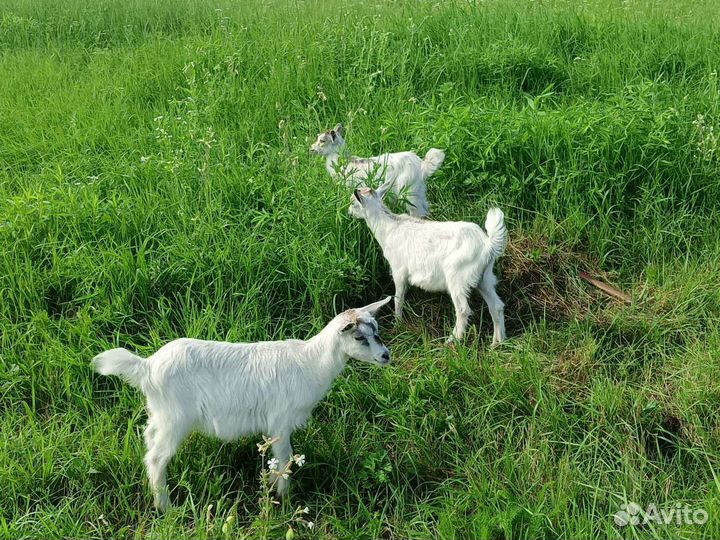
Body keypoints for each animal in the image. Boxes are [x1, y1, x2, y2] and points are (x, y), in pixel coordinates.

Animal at [91, 297, 392, 511]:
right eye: (359, 337)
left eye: (377, 330)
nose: (386, 356)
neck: (311, 361)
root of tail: (148, 366)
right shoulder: (280, 421)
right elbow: (284, 459)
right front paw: (285, 499)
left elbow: (275, 460)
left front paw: (273, 490)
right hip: (176, 418)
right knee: (156, 457)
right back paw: (166, 507)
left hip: (160, 413)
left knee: (149, 439)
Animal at [310, 123, 444, 218]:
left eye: (322, 140)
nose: (311, 149)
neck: (343, 162)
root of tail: (422, 165)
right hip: (418, 191)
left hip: (408, 193)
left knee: (418, 211)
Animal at [349, 186, 507, 346]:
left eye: (353, 203)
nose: (349, 212)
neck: (389, 229)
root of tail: (488, 245)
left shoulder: (399, 271)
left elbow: (398, 299)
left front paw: (398, 324)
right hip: (485, 277)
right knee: (496, 306)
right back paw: (496, 343)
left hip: (457, 277)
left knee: (463, 310)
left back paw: (451, 341)